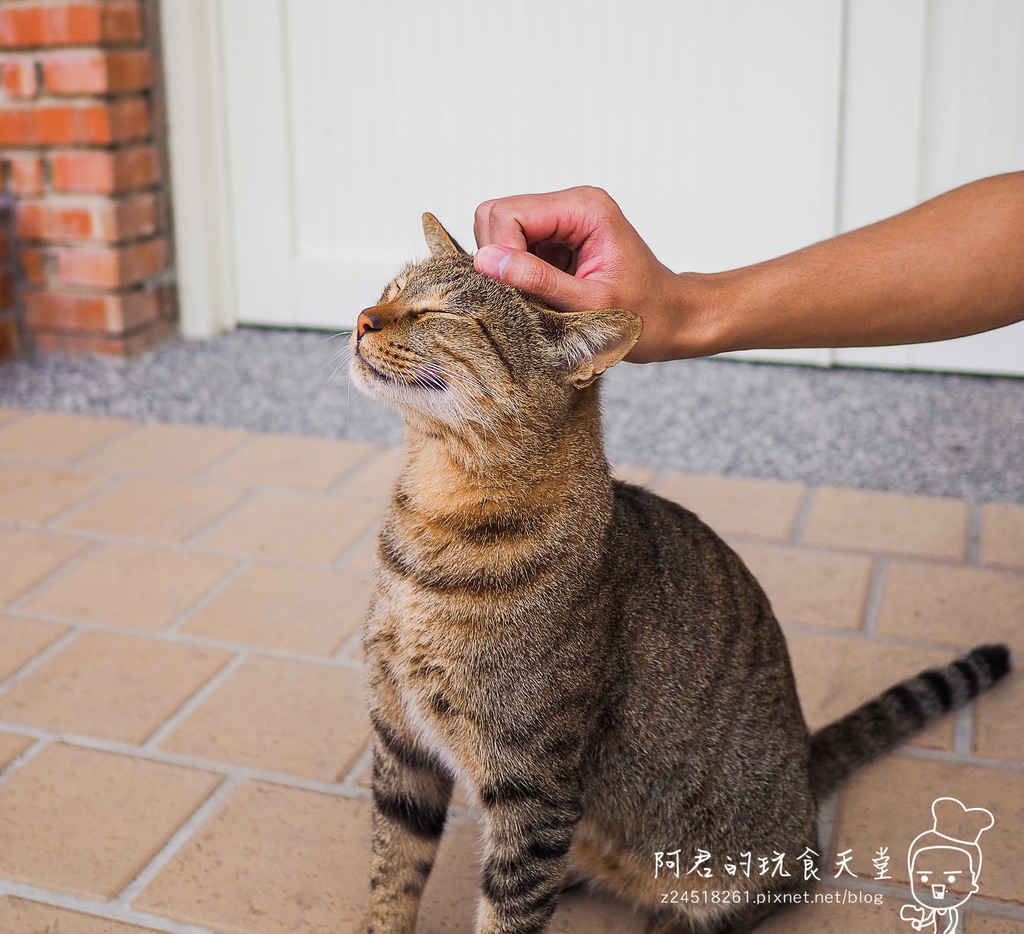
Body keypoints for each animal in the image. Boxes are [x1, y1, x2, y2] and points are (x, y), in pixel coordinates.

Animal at [348, 213, 1011, 934]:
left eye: (439, 312)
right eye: (389, 290)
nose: (361, 317)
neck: (435, 521)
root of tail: (806, 770)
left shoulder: (535, 786)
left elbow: (508, 910)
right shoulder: (401, 743)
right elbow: (390, 873)